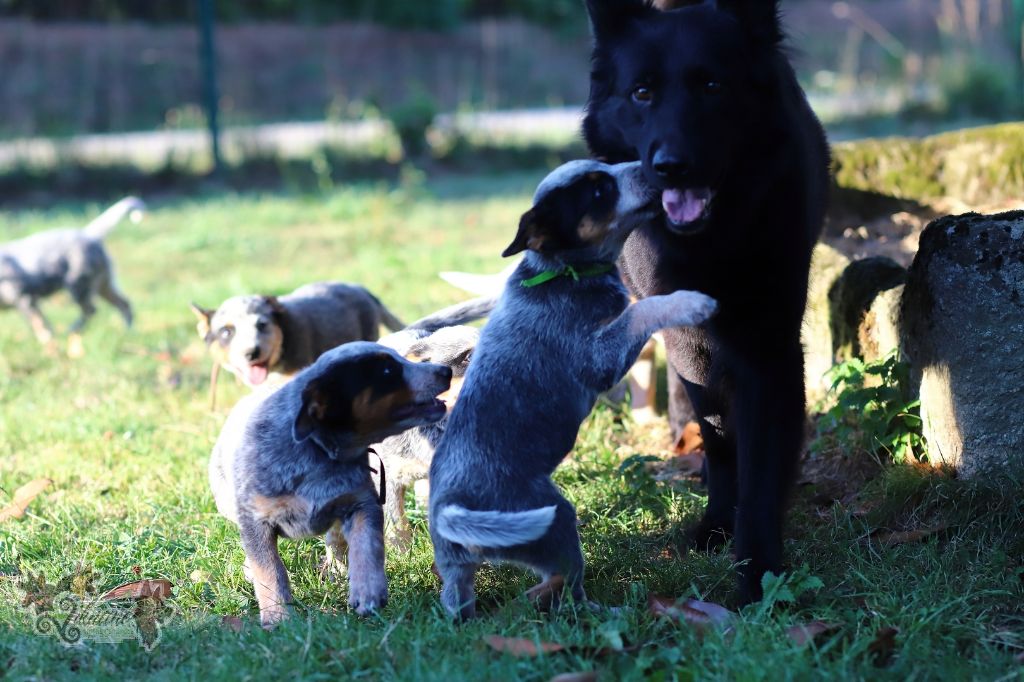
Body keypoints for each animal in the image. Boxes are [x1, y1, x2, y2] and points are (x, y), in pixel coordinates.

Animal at [0, 196, 142, 357]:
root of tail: (89, 234)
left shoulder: (26, 299)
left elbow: (43, 328)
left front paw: (50, 349)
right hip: (103, 284)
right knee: (124, 304)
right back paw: (127, 332)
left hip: (79, 286)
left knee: (91, 310)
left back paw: (75, 330)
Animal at [209, 341, 453, 627]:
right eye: (387, 370)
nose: (446, 370)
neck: (318, 454)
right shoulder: (256, 521)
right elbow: (269, 571)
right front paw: (278, 618)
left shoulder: (362, 502)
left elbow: (366, 546)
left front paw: (367, 591)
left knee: (335, 538)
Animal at [428, 159, 718, 619]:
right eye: (598, 191)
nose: (652, 164)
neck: (562, 271)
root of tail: (449, 511)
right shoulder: (599, 357)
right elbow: (640, 310)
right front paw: (691, 301)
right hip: (555, 521)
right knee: (566, 587)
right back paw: (610, 611)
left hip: (457, 568)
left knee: (460, 599)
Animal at [583, 0, 831, 602]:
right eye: (642, 92)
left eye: (713, 86)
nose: (672, 165)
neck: (709, 240)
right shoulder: (687, 342)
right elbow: (719, 438)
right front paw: (720, 524)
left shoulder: (768, 347)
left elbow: (761, 466)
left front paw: (758, 574)